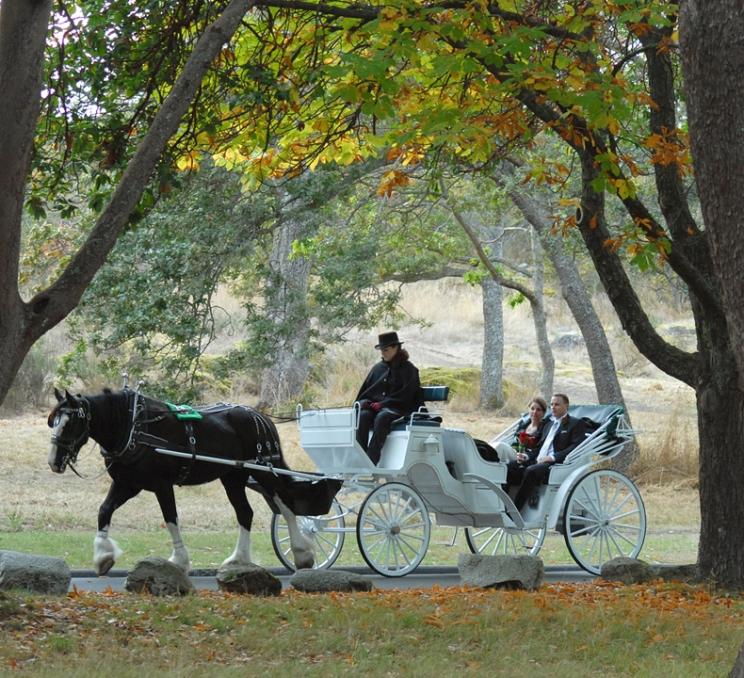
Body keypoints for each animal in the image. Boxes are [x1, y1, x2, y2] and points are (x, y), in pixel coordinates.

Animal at [49, 390, 334, 576]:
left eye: (71, 423)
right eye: (54, 421)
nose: (54, 461)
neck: (133, 426)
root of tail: (260, 416)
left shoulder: (161, 485)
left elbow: (171, 519)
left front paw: (179, 561)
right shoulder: (127, 484)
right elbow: (104, 511)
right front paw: (102, 557)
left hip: (264, 470)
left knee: (285, 506)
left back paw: (302, 553)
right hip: (233, 477)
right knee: (246, 513)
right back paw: (238, 559)